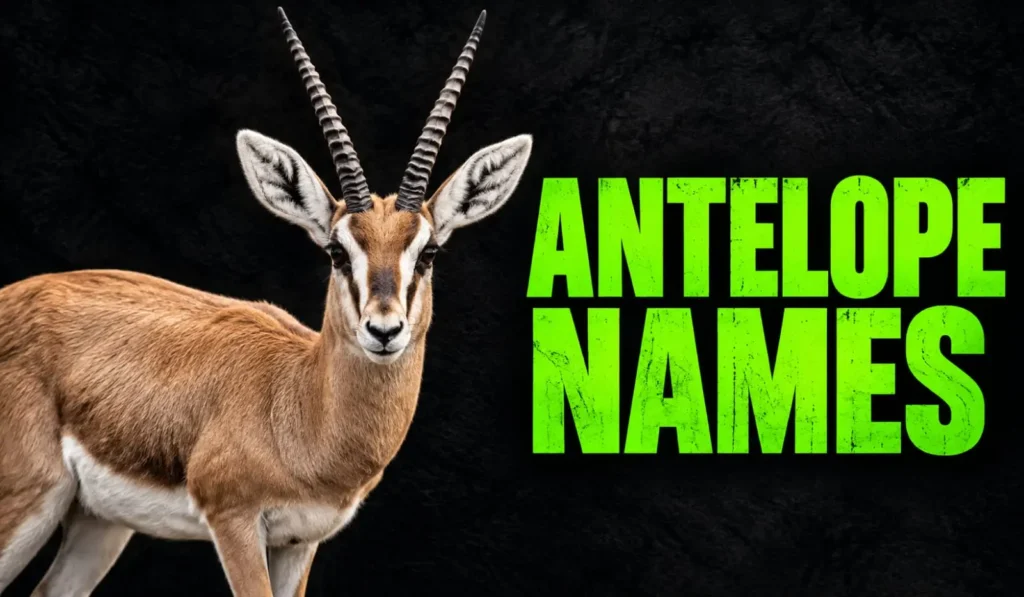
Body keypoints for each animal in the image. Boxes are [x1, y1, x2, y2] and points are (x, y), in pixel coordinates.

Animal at [0, 7, 531, 596]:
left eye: (429, 251)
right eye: (336, 251)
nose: (384, 330)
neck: (299, 404)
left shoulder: (299, 541)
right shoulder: (233, 520)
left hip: (99, 523)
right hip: (29, 502)